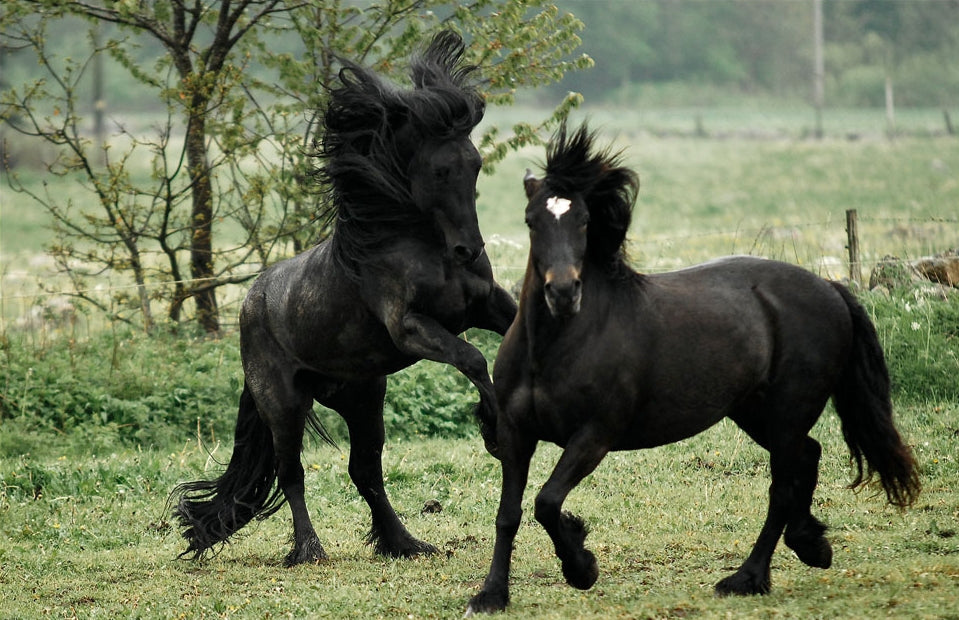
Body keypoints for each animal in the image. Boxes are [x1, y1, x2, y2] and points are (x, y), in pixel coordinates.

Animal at [171, 31, 516, 567]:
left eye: (475, 165)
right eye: (439, 171)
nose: (468, 249)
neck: (415, 242)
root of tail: (250, 306)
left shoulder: (485, 306)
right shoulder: (411, 327)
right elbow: (473, 358)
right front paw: (495, 432)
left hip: (363, 397)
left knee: (365, 471)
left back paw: (405, 543)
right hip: (284, 405)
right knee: (292, 473)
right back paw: (309, 549)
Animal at [465, 122, 920, 614]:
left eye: (584, 220)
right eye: (532, 221)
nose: (564, 292)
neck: (554, 347)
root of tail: (829, 288)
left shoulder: (594, 435)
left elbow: (547, 502)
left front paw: (581, 567)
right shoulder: (515, 433)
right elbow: (509, 514)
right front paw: (491, 595)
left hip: (787, 411)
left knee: (782, 487)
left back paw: (746, 578)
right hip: (754, 412)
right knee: (808, 455)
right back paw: (811, 545)